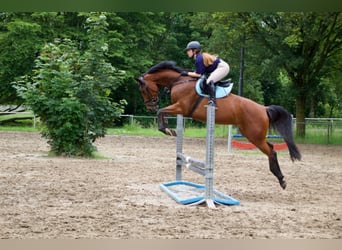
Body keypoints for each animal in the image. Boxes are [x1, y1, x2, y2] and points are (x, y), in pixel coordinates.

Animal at [135, 61, 300, 189]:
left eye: (144, 89)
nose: (150, 107)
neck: (179, 81)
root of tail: (264, 109)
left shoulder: (182, 107)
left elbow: (161, 111)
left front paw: (167, 129)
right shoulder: (179, 108)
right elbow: (162, 112)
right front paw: (168, 128)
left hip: (254, 136)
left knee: (271, 151)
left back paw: (281, 180)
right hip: (251, 134)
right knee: (271, 147)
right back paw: (280, 177)